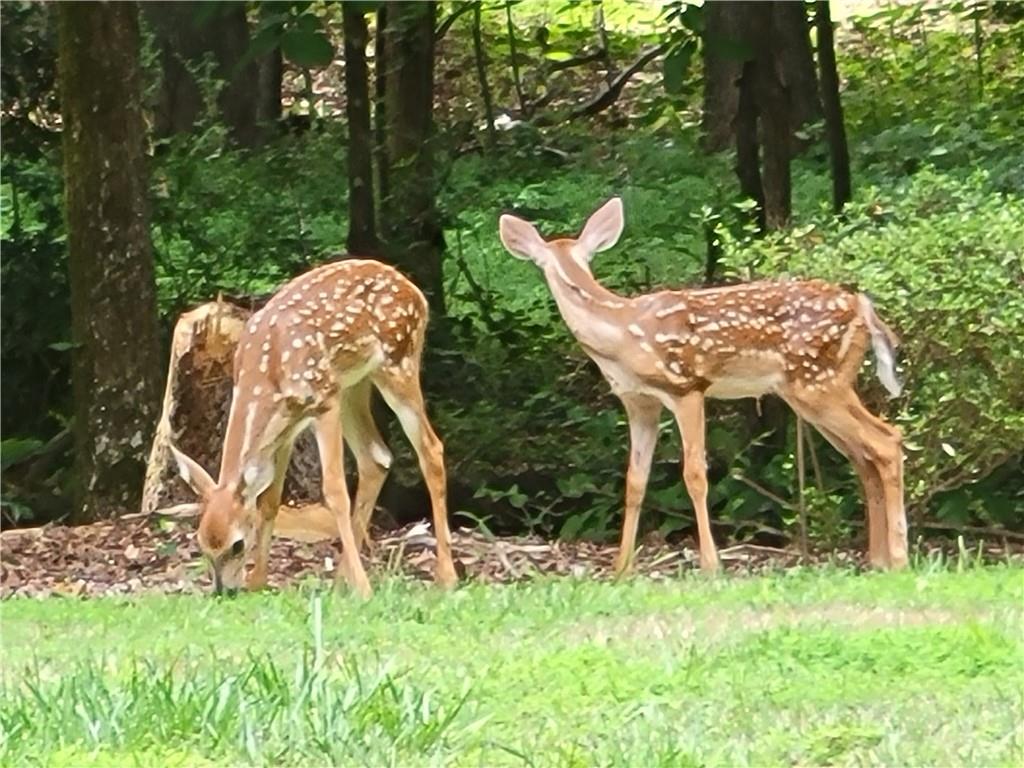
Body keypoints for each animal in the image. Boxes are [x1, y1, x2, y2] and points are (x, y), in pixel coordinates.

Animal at [168, 262, 456, 598]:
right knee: (376, 456)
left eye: (237, 545)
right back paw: (342, 580)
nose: (223, 591)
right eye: (202, 546)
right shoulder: (288, 424)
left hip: (397, 361)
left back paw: (445, 577)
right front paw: (258, 581)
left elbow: (335, 491)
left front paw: (364, 589)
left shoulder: (322, 401)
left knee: (431, 449)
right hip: (353, 384)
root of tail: (414, 291)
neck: (267, 373)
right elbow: (270, 499)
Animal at [499, 201, 909, 573]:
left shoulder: (687, 386)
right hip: (812, 390)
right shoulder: (638, 402)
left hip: (818, 382)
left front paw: (711, 566)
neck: (622, 336)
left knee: (887, 440)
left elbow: (695, 474)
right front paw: (621, 570)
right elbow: (634, 481)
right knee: (864, 456)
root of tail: (861, 306)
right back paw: (878, 560)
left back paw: (899, 558)